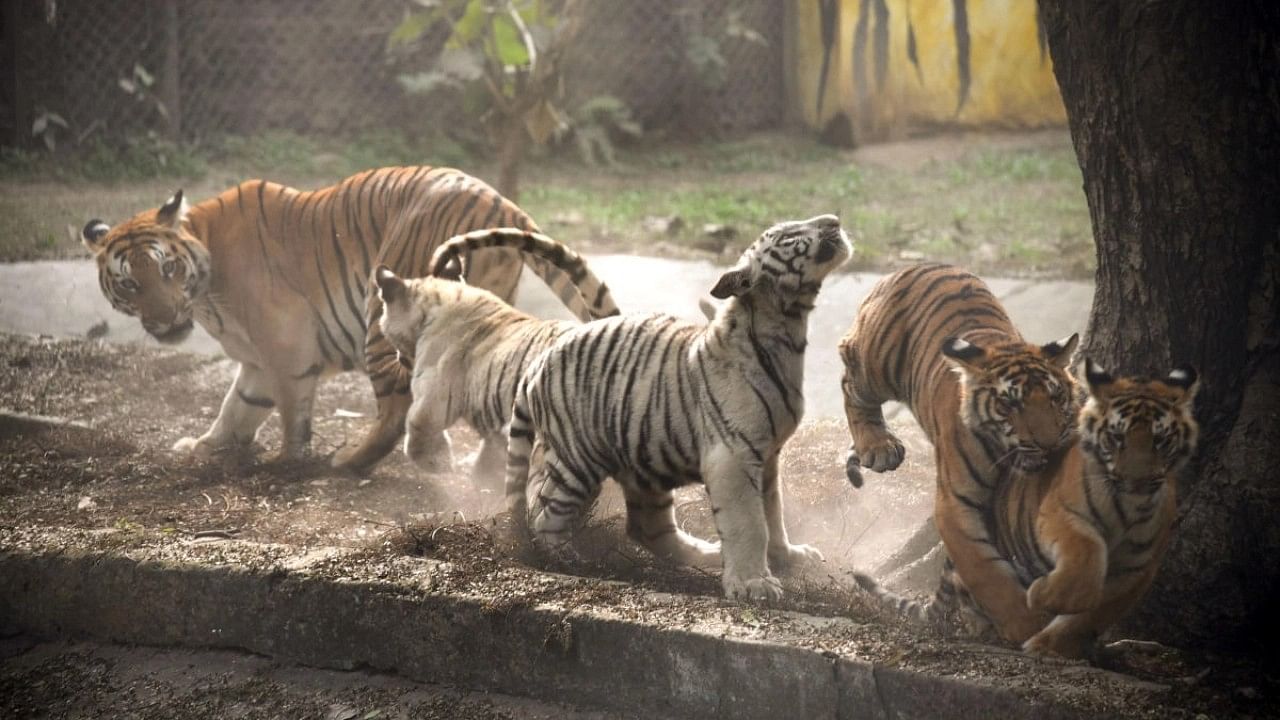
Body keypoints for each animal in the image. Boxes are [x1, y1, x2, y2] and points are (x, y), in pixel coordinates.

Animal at [82, 165, 616, 468]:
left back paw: (351, 462)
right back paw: (478, 472)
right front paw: (207, 446)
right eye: (130, 284)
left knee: (397, 406)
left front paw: (287, 461)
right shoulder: (254, 360)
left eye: (167, 268)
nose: (166, 318)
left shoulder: (286, 345)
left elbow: (289, 409)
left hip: (378, 313)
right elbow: (237, 405)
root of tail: (502, 200)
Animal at [504, 213, 855, 599]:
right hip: (578, 459)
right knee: (544, 513)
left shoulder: (768, 456)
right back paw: (572, 560)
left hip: (641, 463)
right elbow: (750, 522)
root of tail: (536, 365)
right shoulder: (734, 454)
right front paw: (754, 584)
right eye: (789, 234)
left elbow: (773, 515)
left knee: (647, 528)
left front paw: (787, 557)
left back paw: (709, 554)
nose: (834, 220)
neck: (788, 326)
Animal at [839, 263, 1080, 638]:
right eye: (1011, 404)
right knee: (850, 377)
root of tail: (916, 265)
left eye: (1056, 398)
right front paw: (1027, 629)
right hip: (876, 361)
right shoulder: (954, 504)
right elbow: (985, 571)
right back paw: (879, 446)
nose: (1049, 443)